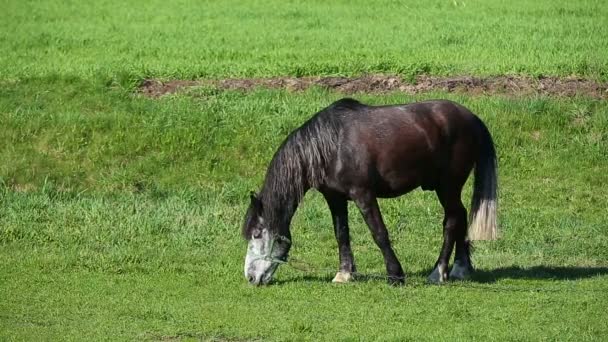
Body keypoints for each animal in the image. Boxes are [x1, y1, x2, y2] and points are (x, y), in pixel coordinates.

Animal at [240, 98, 496, 286]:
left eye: (257, 234)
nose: (251, 277)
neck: (331, 145)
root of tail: (471, 118)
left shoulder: (363, 195)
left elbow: (379, 233)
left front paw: (395, 275)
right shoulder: (335, 199)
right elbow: (341, 234)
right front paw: (344, 274)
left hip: (448, 187)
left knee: (452, 221)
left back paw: (438, 272)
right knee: (461, 216)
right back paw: (461, 268)